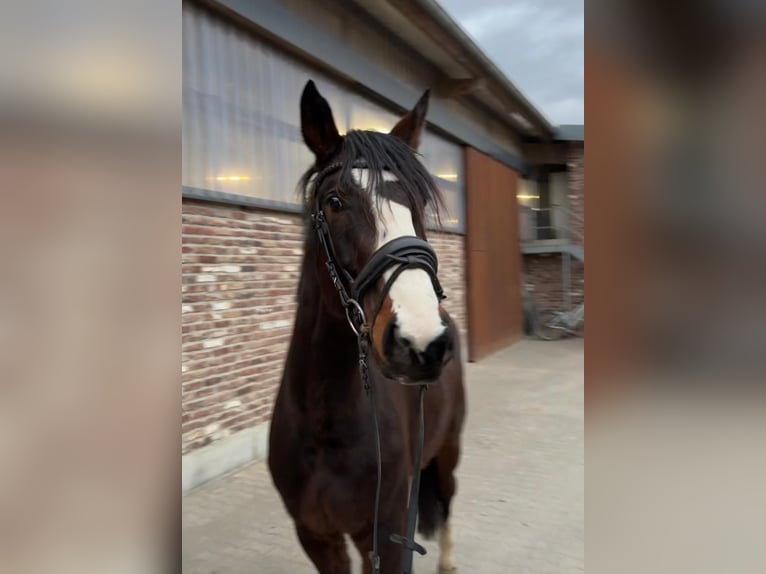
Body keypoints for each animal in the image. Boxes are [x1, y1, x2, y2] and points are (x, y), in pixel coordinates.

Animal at [268, 80, 468, 574]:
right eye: (335, 202)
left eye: (419, 203)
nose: (421, 342)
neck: (325, 429)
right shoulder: (318, 538)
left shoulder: (388, 536)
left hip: (448, 450)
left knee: (448, 500)